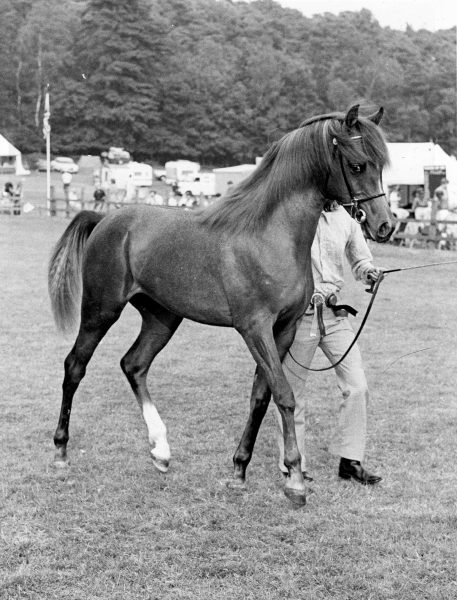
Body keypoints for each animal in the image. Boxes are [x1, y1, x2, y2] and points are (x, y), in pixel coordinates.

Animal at [48, 105, 394, 504]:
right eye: (357, 165)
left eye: (380, 165)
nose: (385, 225)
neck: (270, 235)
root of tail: (105, 218)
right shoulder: (255, 329)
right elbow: (284, 395)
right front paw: (294, 479)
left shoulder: (284, 331)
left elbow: (261, 396)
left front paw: (239, 471)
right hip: (100, 310)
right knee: (75, 366)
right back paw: (60, 453)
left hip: (162, 318)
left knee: (133, 365)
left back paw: (161, 450)